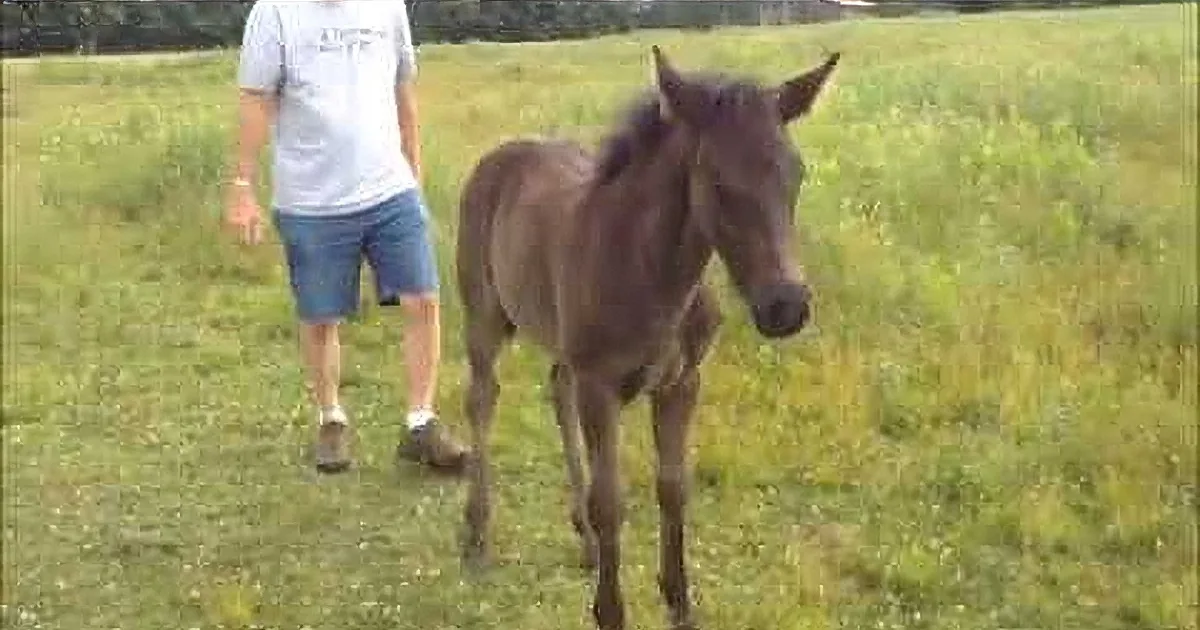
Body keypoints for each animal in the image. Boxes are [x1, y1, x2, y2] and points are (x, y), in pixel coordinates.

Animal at [453, 45, 841, 630]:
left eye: (796, 174)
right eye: (717, 181)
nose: (786, 306)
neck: (654, 274)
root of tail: (502, 152)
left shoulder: (681, 382)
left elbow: (673, 488)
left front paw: (680, 602)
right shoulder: (600, 386)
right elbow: (610, 500)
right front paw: (610, 611)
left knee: (555, 389)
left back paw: (586, 544)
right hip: (485, 315)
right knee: (482, 398)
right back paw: (477, 529)